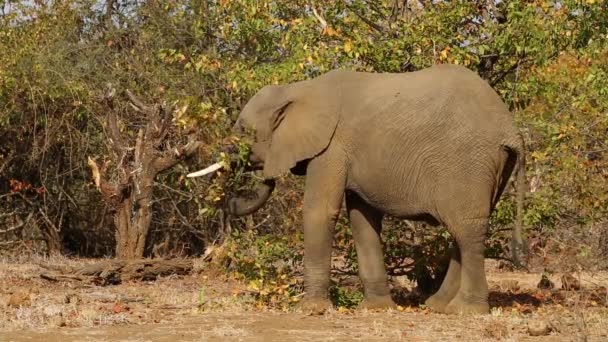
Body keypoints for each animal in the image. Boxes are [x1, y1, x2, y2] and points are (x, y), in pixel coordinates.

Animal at [188, 63, 524, 316]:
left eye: (244, 132)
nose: (233, 199)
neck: (299, 88)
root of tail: (511, 129)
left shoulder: (332, 147)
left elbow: (320, 210)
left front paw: (311, 311)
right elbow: (362, 219)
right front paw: (376, 308)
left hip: (468, 161)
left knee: (467, 230)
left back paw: (466, 311)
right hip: (492, 168)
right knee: (463, 230)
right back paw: (438, 307)